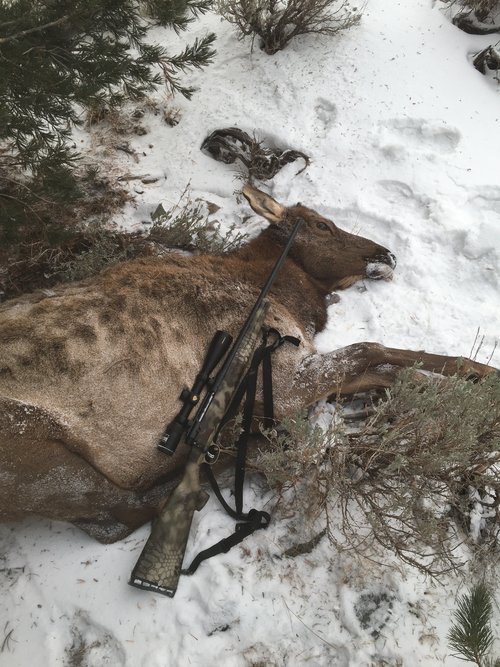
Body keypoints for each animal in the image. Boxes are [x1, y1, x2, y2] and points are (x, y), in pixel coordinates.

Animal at [0, 185, 496, 543]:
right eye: (323, 224)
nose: (385, 254)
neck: (293, 297)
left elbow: (391, 370)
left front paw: (463, 387)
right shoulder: (287, 374)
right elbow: (372, 349)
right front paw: (482, 381)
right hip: (45, 457)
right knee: (114, 514)